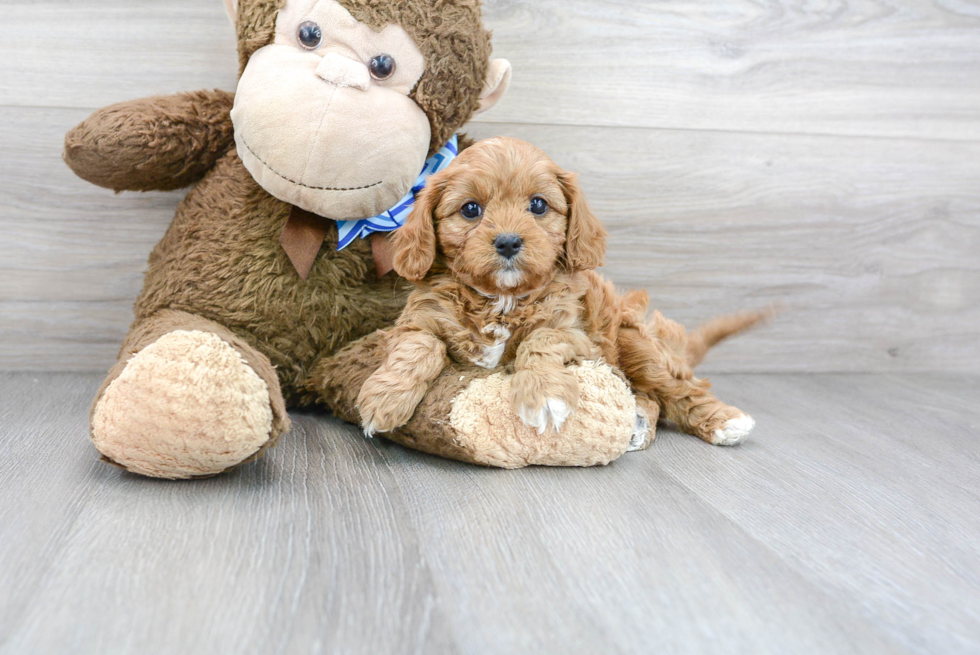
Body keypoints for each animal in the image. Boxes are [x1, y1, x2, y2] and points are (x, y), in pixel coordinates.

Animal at [360, 136, 764, 448]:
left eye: (538, 204)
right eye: (470, 209)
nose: (508, 242)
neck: (502, 299)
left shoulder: (576, 332)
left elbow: (539, 340)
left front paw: (544, 395)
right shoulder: (416, 321)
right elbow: (419, 345)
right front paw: (385, 397)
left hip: (637, 343)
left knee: (679, 390)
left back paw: (724, 421)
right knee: (650, 396)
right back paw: (638, 421)